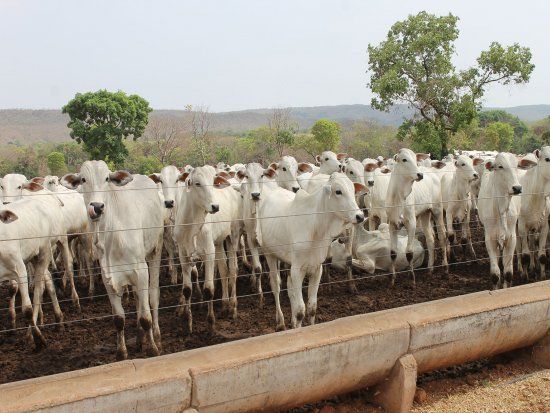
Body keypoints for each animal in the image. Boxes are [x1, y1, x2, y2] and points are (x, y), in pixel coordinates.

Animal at [61, 159, 164, 358]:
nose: (97, 206)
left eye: (107, 178)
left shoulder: (141, 270)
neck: (112, 234)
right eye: (83, 179)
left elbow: (145, 316)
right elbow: (118, 319)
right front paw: (122, 353)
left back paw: (155, 335)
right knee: (138, 301)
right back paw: (139, 339)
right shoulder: (108, 277)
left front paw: (153, 349)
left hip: (155, 250)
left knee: (153, 297)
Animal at [258, 172, 366, 330]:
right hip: (269, 255)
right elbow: (300, 311)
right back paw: (281, 322)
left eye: (353, 191)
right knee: (276, 286)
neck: (316, 229)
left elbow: (312, 308)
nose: (360, 216)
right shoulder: (297, 270)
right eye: (338, 191)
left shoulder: (316, 268)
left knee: (289, 288)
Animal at [478, 153, 528, 288]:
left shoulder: (511, 238)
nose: (517, 188)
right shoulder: (490, 239)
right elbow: (495, 274)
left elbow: (508, 273)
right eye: (500, 166)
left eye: (517, 165)